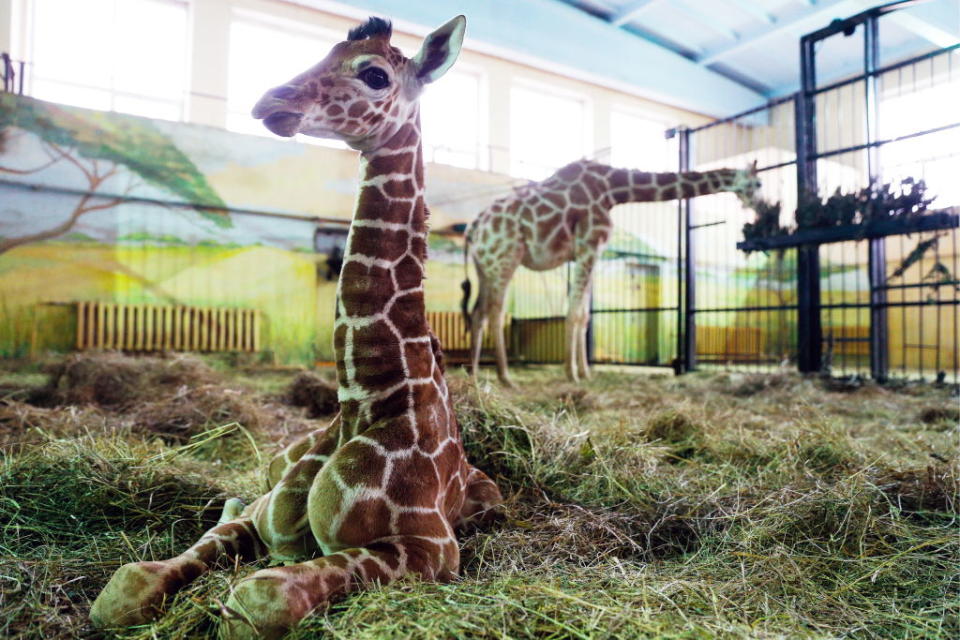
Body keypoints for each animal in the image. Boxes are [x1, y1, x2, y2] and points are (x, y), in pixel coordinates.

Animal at [90, 16, 502, 640]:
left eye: (374, 74)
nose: (271, 102)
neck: (364, 397)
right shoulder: (261, 520)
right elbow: (127, 588)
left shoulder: (432, 547)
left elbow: (259, 597)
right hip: (275, 460)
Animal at [462, 159, 760, 384]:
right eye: (758, 184)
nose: (760, 207)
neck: (612, 189)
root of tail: (474, 226)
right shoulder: (588, 246)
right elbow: (574, 313)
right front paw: (571, 374)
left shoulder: (592, 253)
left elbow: (584, 316)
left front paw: (585, 373)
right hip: (506, 258)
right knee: (496, 312)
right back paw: (505, 377)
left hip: (485, 265)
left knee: (478, 313)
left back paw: (474, 373)